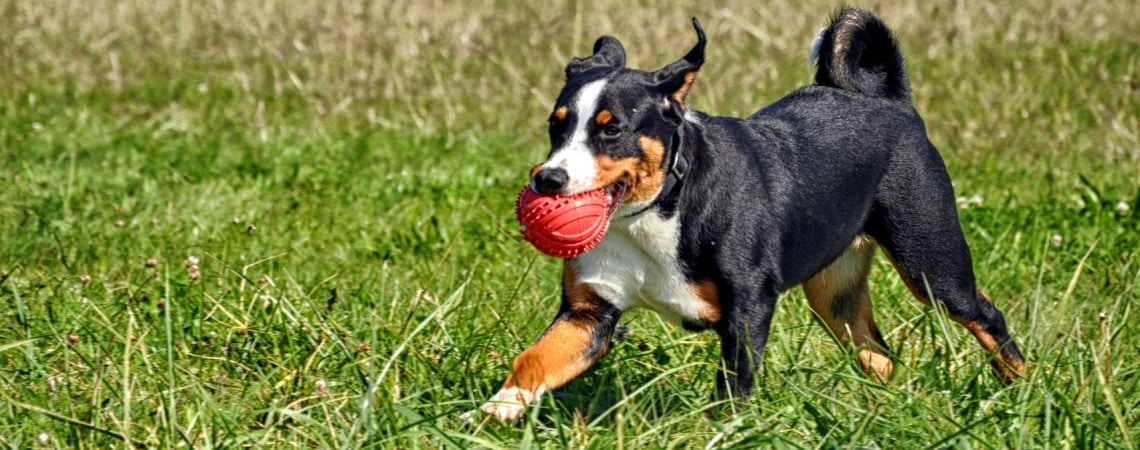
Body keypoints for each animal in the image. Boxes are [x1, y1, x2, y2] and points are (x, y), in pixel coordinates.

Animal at [469, 7, 1026, 423]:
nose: (548, 180)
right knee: (879, 355)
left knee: (986, 317)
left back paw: (1021, 389)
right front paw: (487, 417)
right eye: (556, 125)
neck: (655, 213)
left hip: (931, 264)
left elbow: (732, 393)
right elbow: (532, 362)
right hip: (835, 296)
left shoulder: (748, 309)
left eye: (611, 129)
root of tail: (891, 102)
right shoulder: (589, 313)